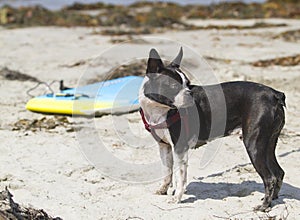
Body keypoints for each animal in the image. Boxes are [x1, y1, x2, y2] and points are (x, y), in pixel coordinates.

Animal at [139, 47, 286, 211]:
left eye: (188, 84)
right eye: (173, 86)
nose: (190, 93)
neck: (158, 109)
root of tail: (274, 94)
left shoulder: (179, 148)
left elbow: (179, 176)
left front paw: (176, 197)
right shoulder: (164, 147)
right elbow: (167, 171)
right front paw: (163, 190)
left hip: (254, 145)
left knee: (270, 177)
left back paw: (264, 206)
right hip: (268, 143)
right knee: (278, 172)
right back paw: (273, 199)